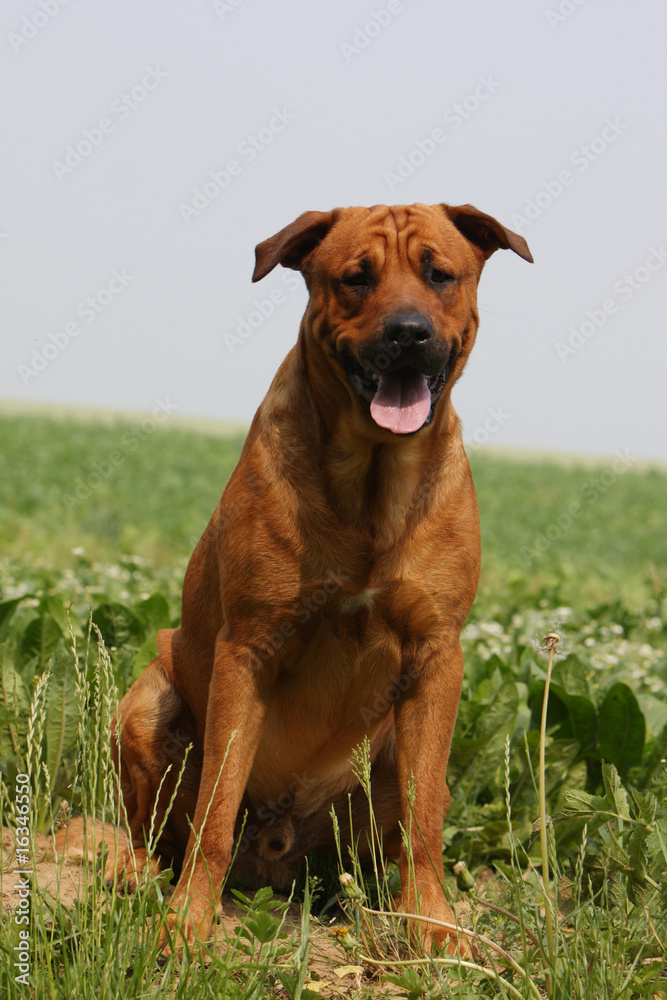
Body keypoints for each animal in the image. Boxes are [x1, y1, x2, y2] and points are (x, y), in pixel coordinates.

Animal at [108, 205, 532, 952]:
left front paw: (434, 926)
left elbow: (424, 820)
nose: (407, 332)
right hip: (147, 704)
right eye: (355, 278)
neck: (371, 481)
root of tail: (276, 860)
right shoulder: (249, 647)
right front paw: (188, 924)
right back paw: (137, 871)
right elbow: (217, 805)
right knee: (157, 833)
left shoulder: (436, 653)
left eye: (439, 274)